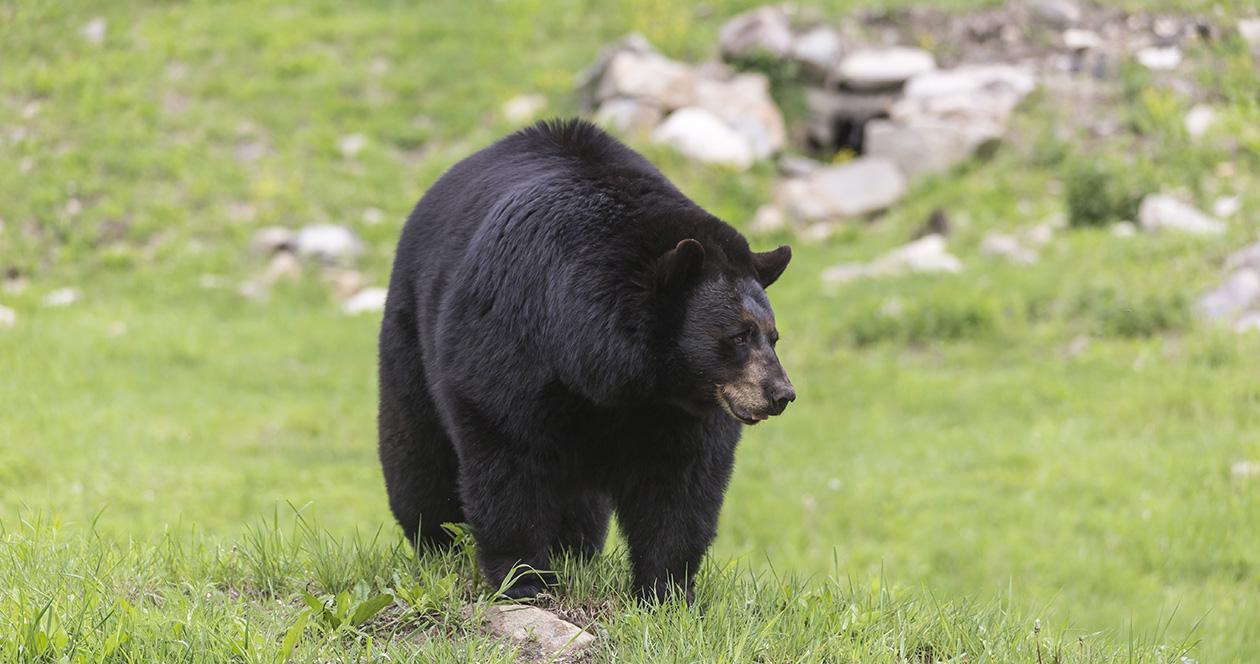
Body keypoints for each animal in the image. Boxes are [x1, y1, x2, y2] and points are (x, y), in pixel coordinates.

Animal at [378, 119, 795, 602]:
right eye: (739, 336)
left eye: (772, 336)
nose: (781, 394)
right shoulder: (512, 342)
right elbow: (506, 457)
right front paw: (524, 579)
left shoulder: (680, 410)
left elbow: (682, 485)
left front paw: (667, 590)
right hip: (410, 332)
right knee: (418, 454)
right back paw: (436, 543)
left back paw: (574, 551)